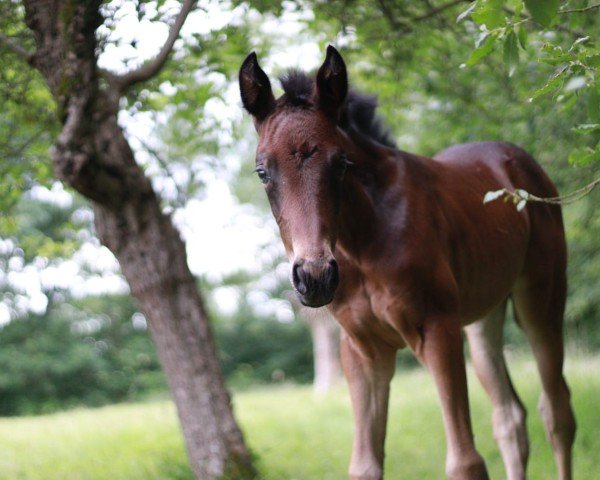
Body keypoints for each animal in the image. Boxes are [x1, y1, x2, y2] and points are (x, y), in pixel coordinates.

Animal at [239, 45, 576, 480]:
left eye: (341, 163)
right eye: (262, 171)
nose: (315, 277)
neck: (361, 243)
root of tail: (521, 162)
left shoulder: (437, 328)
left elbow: (465, 461)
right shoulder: (362, 350)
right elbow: (365, 466)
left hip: (540, 300)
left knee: (557, 411)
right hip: (484, 318)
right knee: (510, 418)